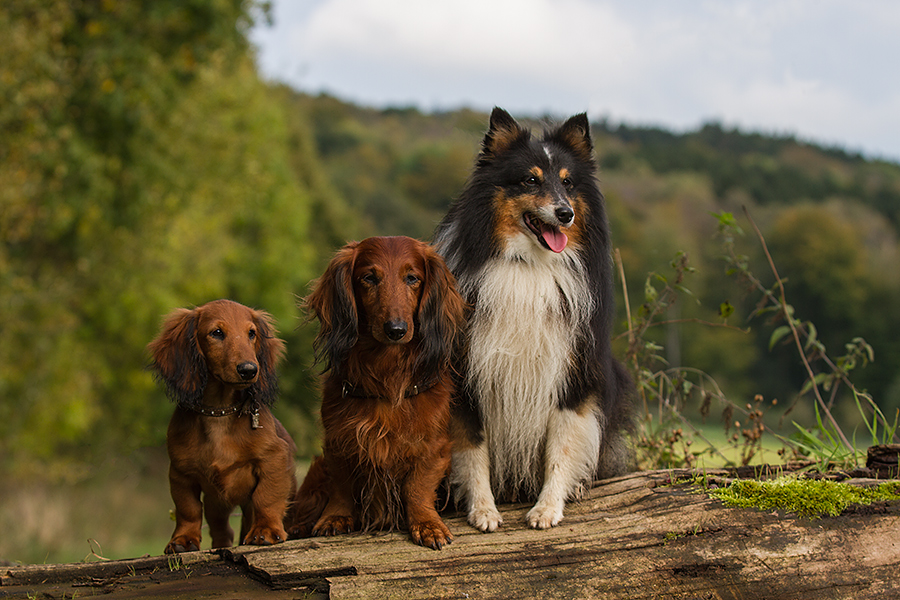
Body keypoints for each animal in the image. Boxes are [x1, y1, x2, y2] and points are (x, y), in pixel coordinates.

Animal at [149, 298, 298, 552]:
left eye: (251, 333)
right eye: (217, 333)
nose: (249, 370)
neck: (218, 412)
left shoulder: (274, 457)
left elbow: (266, 497)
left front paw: (265, 530)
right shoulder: (180, 472)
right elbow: (187, 509)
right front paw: (183, 539)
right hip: (216, 503)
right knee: (222, 529)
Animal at [286, 237, 464, 552]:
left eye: (412, 278)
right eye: (369, 278)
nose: (396, 330)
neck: (387, 375)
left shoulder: (433, 446)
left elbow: (418, 487)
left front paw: (427, 524)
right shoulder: (338, 442)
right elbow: (342, 485)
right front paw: (335, 517)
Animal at [434, 106, 632, 528]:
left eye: (568, 183)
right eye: (530, 180)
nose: (565, 214)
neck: (528, 266)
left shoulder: (572, 373)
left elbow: (561, 447)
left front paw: (547, 509)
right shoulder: (466, 374)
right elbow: (473, 448)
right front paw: (483, 511)